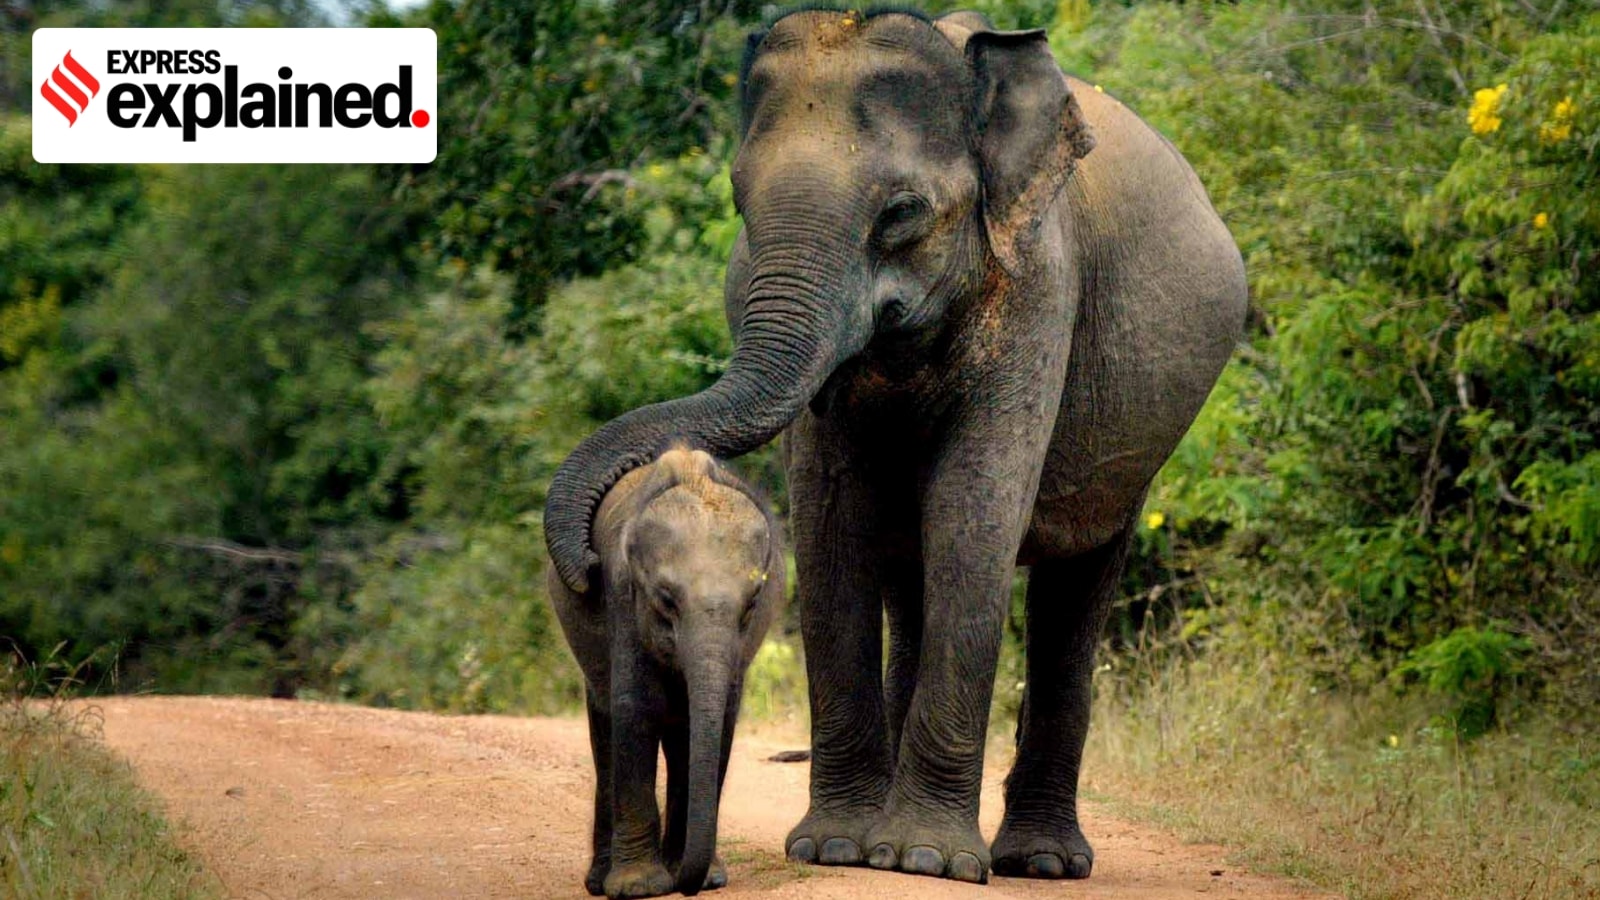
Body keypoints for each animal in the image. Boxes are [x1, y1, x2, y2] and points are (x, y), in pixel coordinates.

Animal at [548, 447, 785, 898]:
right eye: (665, 600)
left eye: (751, 604)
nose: (689, 886)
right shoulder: (622, 596)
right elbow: (637, 709)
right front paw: (639, 887)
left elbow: (717, 719)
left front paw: (705, 880)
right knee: (606, 725)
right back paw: (600, 882)